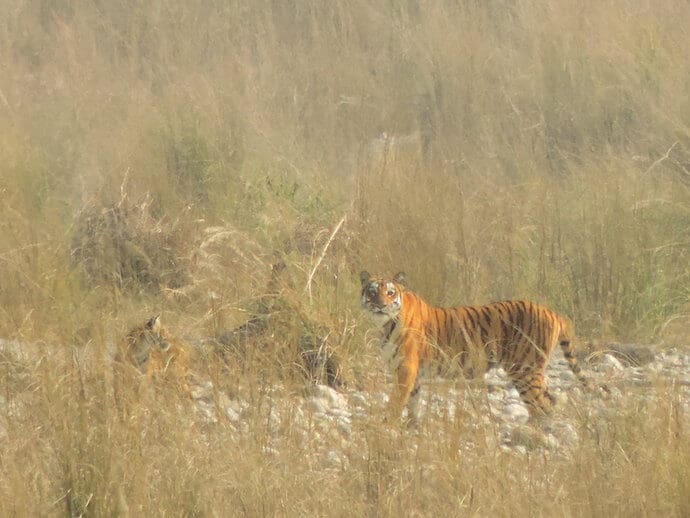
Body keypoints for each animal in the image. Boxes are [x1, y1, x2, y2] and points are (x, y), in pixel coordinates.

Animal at [358, 270, 588, 424]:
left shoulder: (406, 368)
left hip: (524, 369)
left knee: (541, 406)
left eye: (390, 293)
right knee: (550, 400)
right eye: (372, 293)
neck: (384, 324)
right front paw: (412, 427)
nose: (380, 305)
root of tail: (553, 313)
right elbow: (413, 401)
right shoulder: (414, 372)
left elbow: (397, 400)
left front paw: (388, 425)